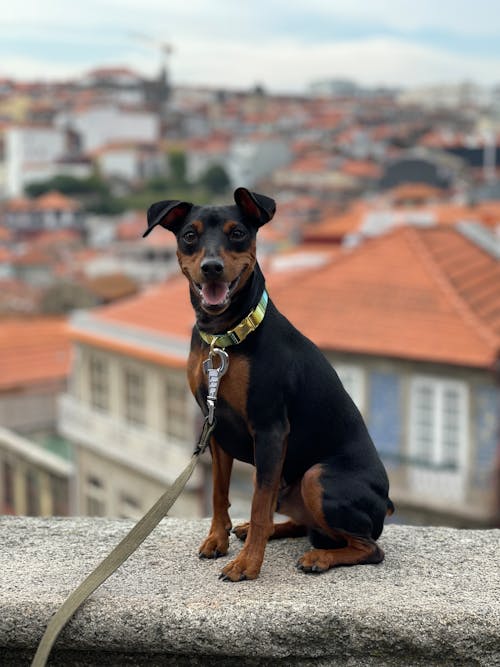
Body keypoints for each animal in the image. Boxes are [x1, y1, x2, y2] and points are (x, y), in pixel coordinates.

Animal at [143, 187, 392, 580]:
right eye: (189, 236)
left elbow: (259, 502)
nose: (211, 267)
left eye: (237, 233)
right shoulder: (216, 428)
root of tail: (387, 500)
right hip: (292, 488)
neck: (225, 336)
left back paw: (320, 557)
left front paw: (247, 564)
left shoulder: (270, 430)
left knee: (369, 547)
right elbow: (219, 493)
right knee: (307, 525)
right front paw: (218, 538)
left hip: (316, 477)